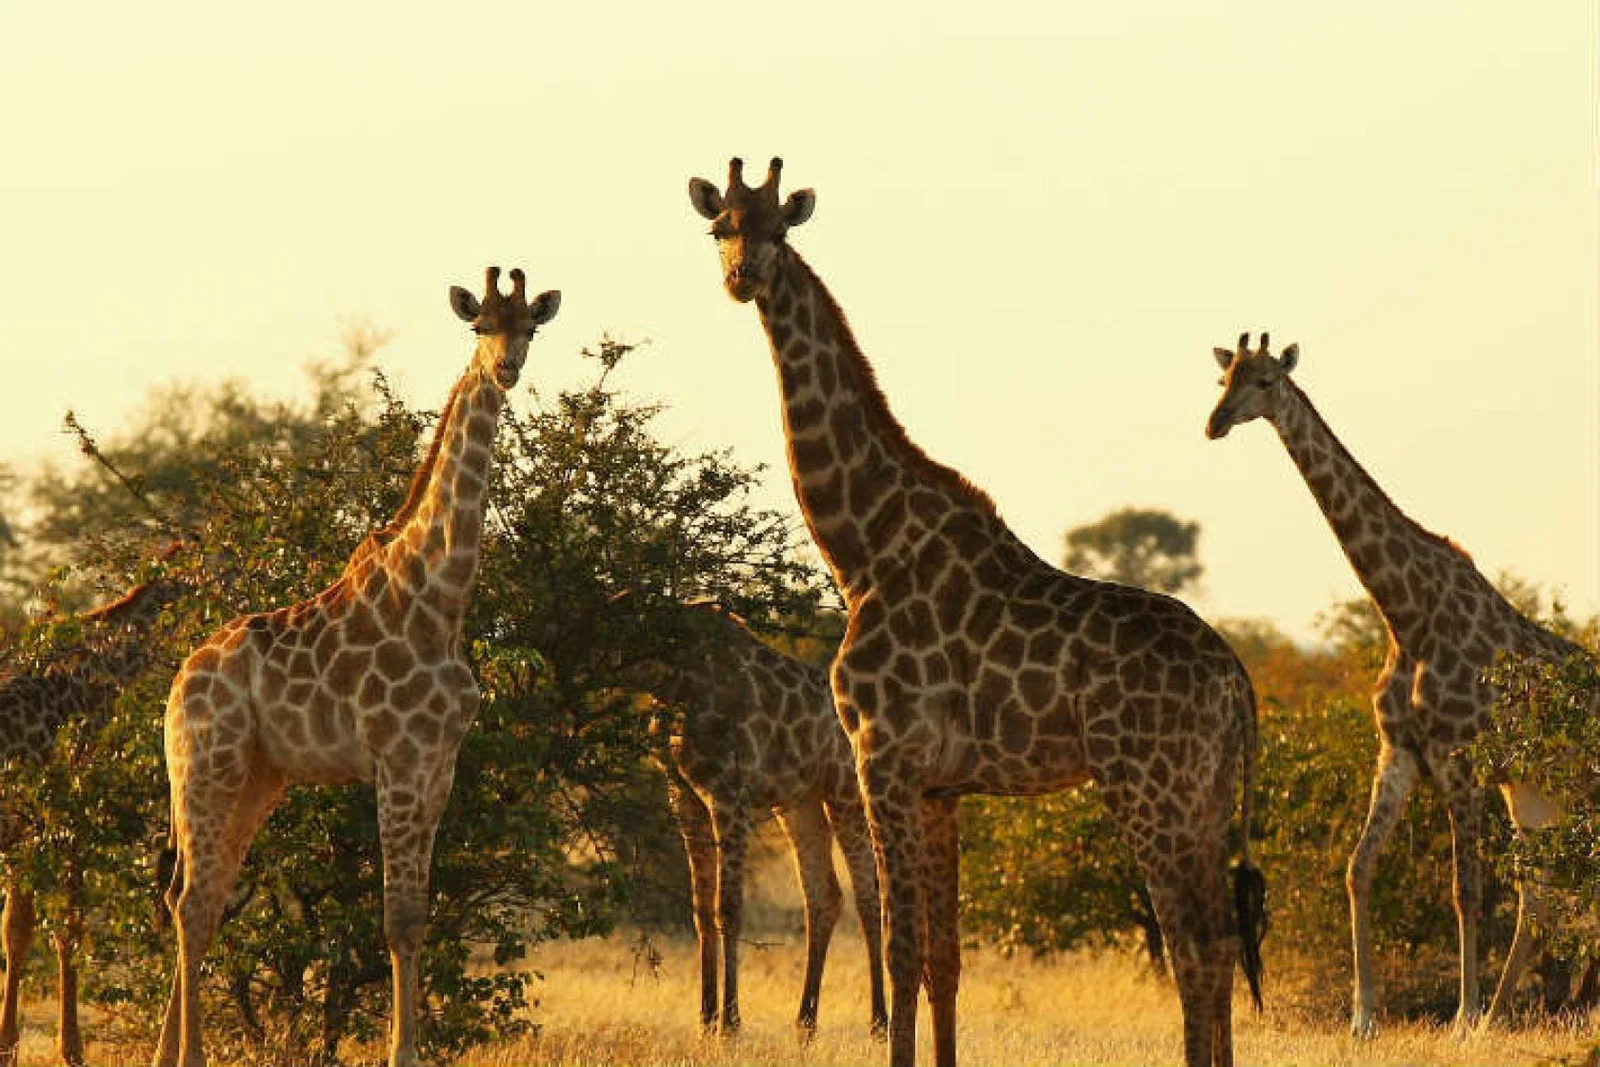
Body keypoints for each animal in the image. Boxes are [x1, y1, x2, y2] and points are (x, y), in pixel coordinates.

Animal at [151, 267, 558, 1067]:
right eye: (479, 327)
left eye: (529, 325)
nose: (506, 368)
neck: (441, 595)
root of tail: (178, 684)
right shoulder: (397, 758)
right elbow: (395, 918)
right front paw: (402, 1054)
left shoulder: (440, 765)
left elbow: (419, 915)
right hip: (207, 763)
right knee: (189, 899)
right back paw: (190, 1056)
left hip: (259, 775)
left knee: (203, 895)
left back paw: (166, 1055)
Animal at [634, 600, 885, 1037]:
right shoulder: (683, 795)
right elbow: (701, 908)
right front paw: (706, 1020)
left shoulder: (729, 793)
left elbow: (729, 908)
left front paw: (730, 1024)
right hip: (799, 804)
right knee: (824, 896)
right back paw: (805, 1023)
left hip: (845, 795)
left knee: (868, 895)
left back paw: (879, 1023)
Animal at [689, 158, 1266, 1067]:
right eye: (721, 228)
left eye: (778, 228)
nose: (743, 277)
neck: (864, 548)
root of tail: (1236, 679)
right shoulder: (940, 787)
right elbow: (944, 960)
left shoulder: (882, 758)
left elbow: (898, 945)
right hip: (1204, 795)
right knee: (1217, 938)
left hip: (1151, 787)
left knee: (1194, 946)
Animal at [1204, 332, 1593, 1035]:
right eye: (1223, 380)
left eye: (1267, 381)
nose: (1215, 424)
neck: (1406, 616)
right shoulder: (1400, 751)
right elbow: (1358, 869)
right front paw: (1365, 1016)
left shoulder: (1457, 754)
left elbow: (1466, 890)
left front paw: (1463, 1014)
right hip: (1535, 790)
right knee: (1539, 895)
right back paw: (1503, 1013)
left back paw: (1499, 1010)